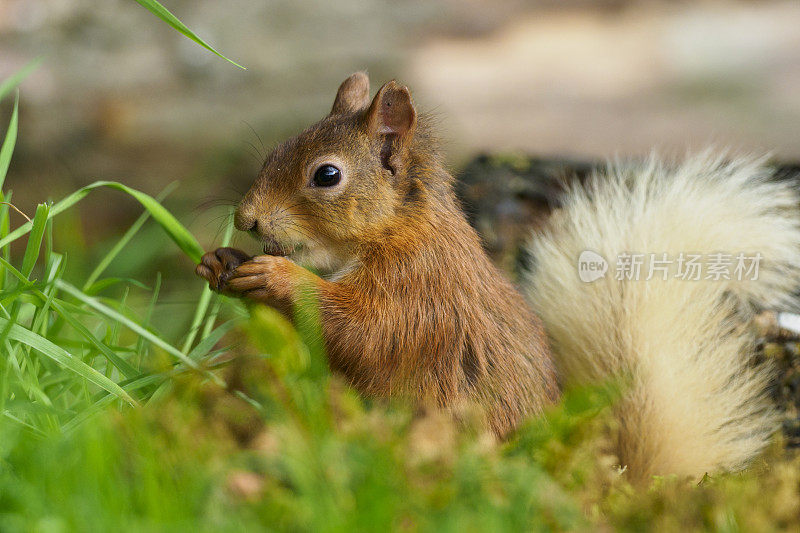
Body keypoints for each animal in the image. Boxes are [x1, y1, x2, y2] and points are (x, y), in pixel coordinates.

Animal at [195, 71, 800, 482]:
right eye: (275, 150)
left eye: (326, 175)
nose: (247, 218)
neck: (391, 231)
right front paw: (223, 261)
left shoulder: (419, 290)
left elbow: (362, 331)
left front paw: (279, 276)